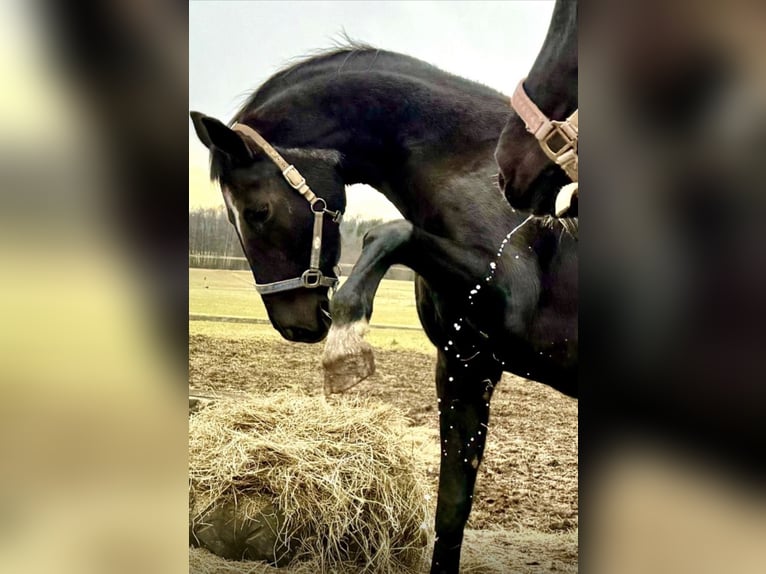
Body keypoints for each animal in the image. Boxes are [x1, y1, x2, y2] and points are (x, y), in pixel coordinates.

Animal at [190, 43, 577, 574]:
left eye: (258, 212)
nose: (292, 324)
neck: (474, 171)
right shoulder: (464, 364)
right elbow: (452, 508)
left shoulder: (509, 301)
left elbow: (389, 233)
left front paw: (346, 346)